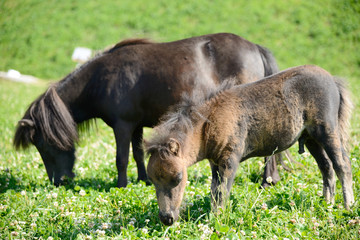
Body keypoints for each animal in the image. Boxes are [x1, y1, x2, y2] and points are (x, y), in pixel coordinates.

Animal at [13, 32, 278, 188]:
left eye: (42, 144)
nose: (58, 182)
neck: (101, 79)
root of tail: (255, 47)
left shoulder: (121, 126)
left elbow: (121, 158)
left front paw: (121, 185)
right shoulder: (136, 126)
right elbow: (138, 153)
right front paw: (143, 180)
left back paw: (267, 180)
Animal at [145, 64, 352, 226]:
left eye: (178, 178)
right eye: (153, 180)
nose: (167, 218)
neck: (209, 122)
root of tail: (332, 80)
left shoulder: (230, 160)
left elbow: (222, 193)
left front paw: (218, 221)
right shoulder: (215, 164)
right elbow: (214, 193)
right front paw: (213, 218)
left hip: (327, 131)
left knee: (342, 166)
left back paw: (348, 207)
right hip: (310, 139)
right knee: (326, 168)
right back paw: (327, 204)